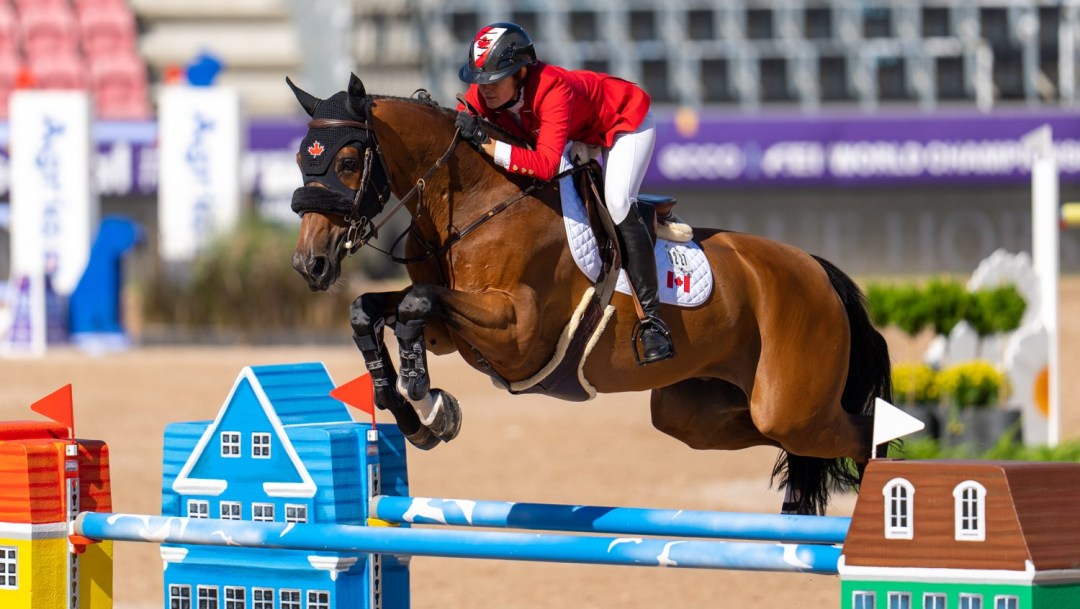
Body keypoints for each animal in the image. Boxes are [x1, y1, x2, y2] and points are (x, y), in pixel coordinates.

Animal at [289, 73, 894, 516]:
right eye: (301, 160)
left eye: (348, 161)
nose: (309, 264)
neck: (474, 204)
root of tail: (818, 270)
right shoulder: (449, 330)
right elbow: (373, 310)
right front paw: (412, 411)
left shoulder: (519, 332)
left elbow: (414, 305)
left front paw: (426, 401)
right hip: (702, 413)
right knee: (782, 440)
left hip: (793, 407)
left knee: (866, 432)